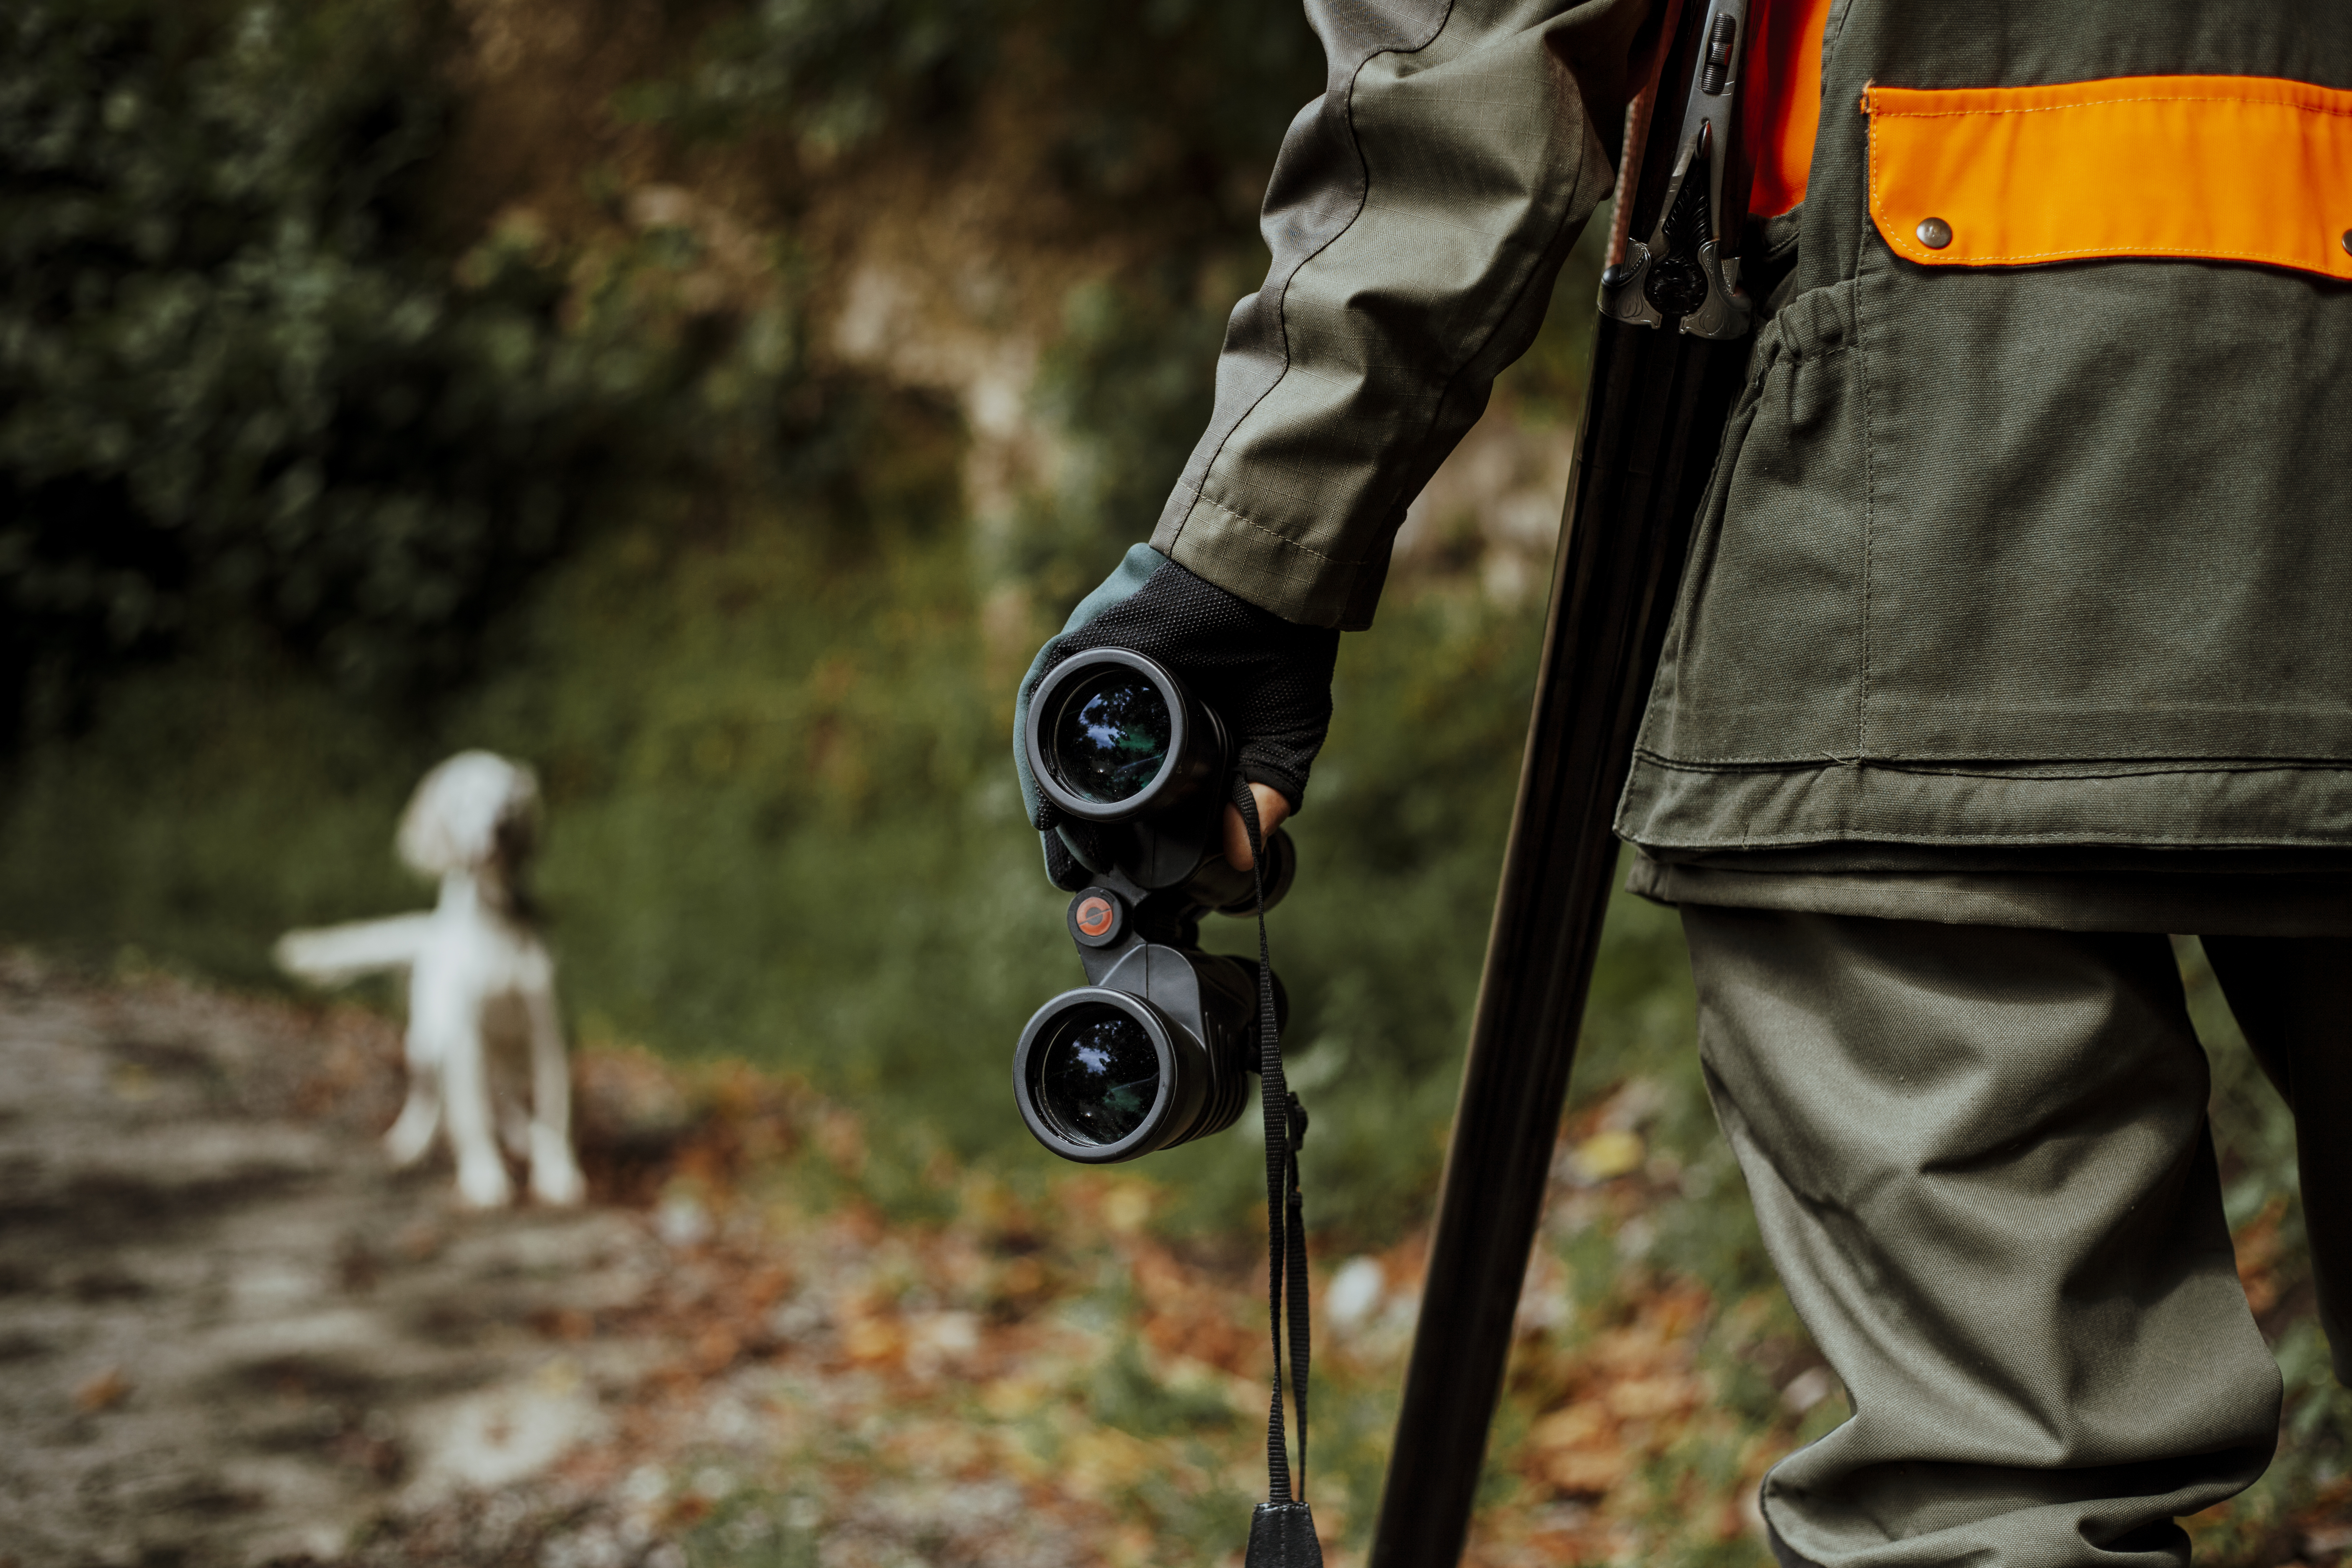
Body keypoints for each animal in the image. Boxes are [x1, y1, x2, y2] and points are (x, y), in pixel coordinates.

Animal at [273, 752, 585, 1213]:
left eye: (508, 802)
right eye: (464, 803)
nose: (499, 829)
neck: (494, 920)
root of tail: (427, 932)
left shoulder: (545, 1025)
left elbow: (554, 1108)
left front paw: (558, 1176)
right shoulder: (465, 1035)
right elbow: (472, 1114)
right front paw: (484, 1178)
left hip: (505, 1055)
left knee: (504, 1099)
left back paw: (522, 1136)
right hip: (425, 1041)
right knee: (432, 1098)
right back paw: (410, 1143)